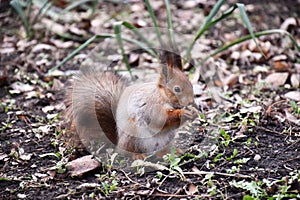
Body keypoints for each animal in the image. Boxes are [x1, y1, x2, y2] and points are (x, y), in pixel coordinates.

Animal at [64, 48, 198, 158]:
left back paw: (171, 152)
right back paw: (138, 156)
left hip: (166, 139)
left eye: (191, 84)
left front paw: (194, 112)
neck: (162, 96)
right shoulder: (152, 107)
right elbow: (160, 119)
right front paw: (184, 113)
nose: (191, 102)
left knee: (160, 151)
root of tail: (118, 143)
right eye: (177, 89)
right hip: (133, 136)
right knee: (129, 152)